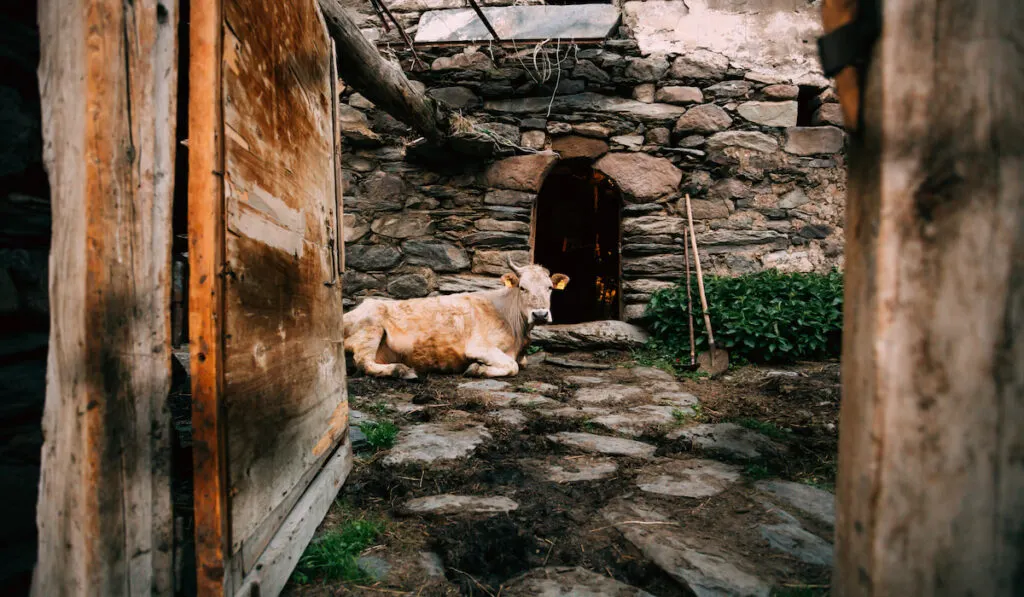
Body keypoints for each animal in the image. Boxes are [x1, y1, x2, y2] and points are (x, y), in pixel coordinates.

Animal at [344, 257, 569, 378]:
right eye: (522, 288)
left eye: (549, 288)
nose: (540, 314)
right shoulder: (479, 347)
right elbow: (512, 366)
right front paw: (476, 369)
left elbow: (521, 363)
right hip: (370, 329)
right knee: (364, 363)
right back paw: (402, 370)